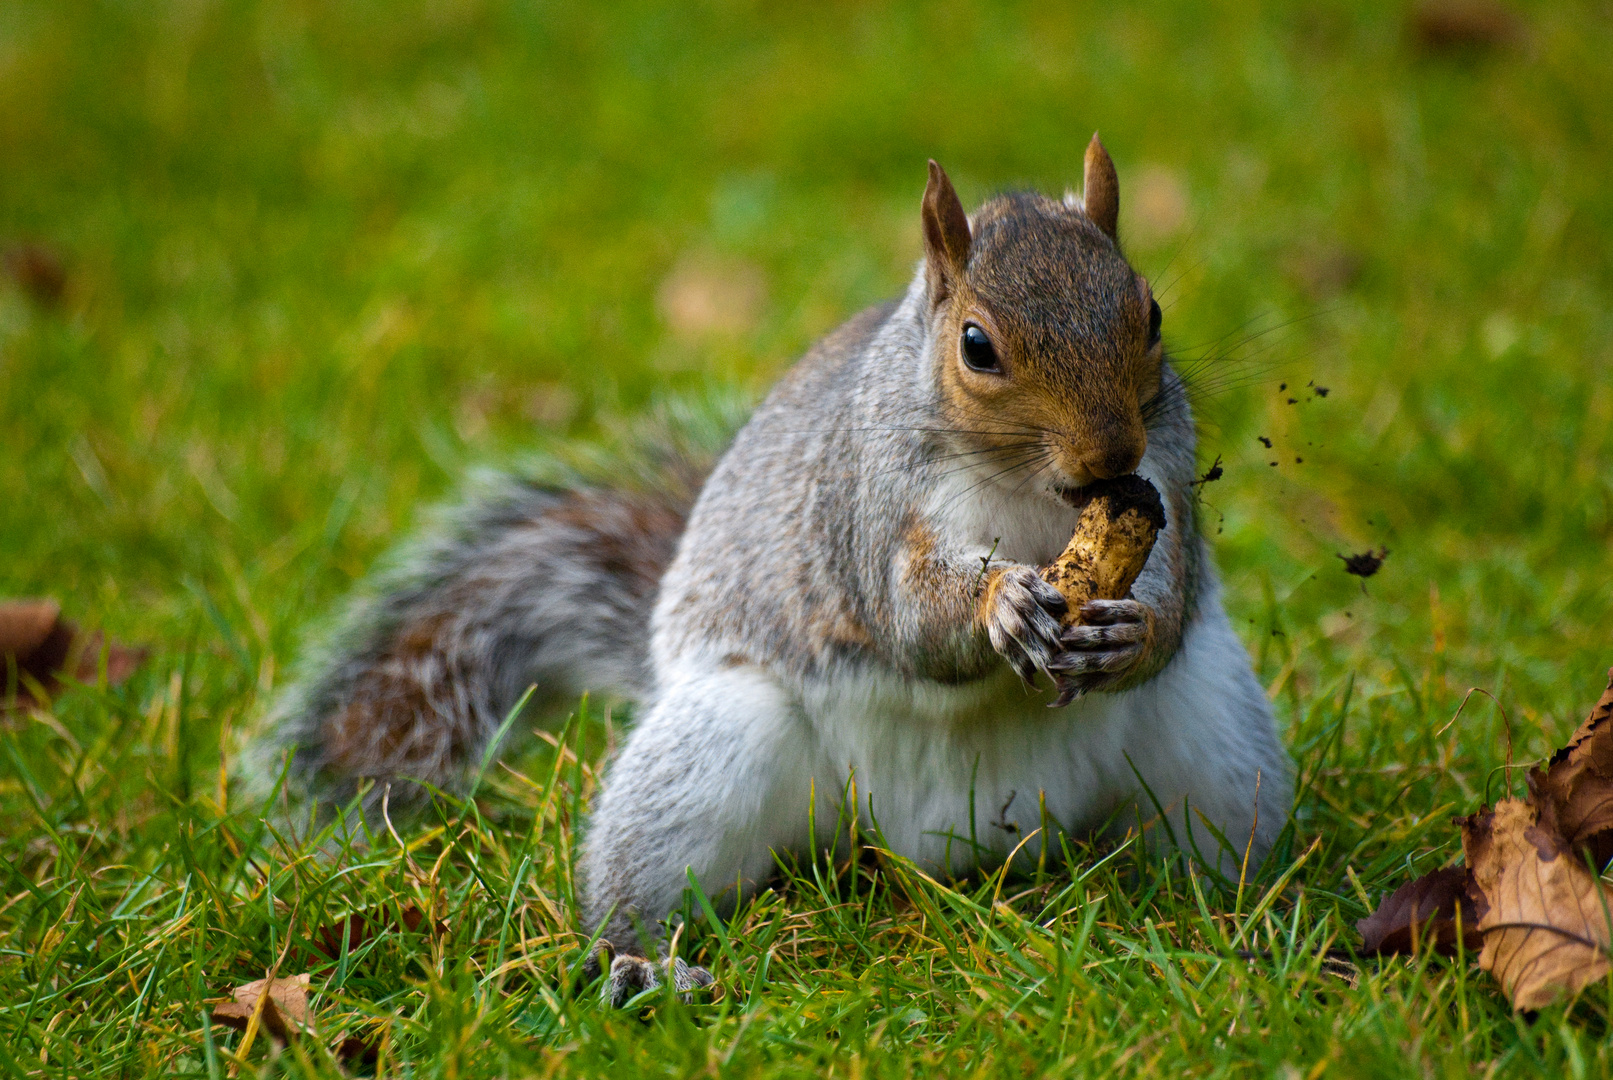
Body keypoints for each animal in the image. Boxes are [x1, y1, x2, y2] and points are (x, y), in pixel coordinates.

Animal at [264, 135, 1296, 1005]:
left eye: (1150, 313)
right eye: (976, 346)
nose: (1107, 456)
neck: (1033, 492)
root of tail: (949, 845)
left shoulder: (1165, 482)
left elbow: (1173, 594)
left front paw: (1126, 628)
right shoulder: (868, 500)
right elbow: (909, 619)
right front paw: (1000, 603)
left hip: (1215, 742)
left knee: (1216, 836)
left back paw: (1239, 922)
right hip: (718, 743)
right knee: (642, 883)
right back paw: (643, 963)